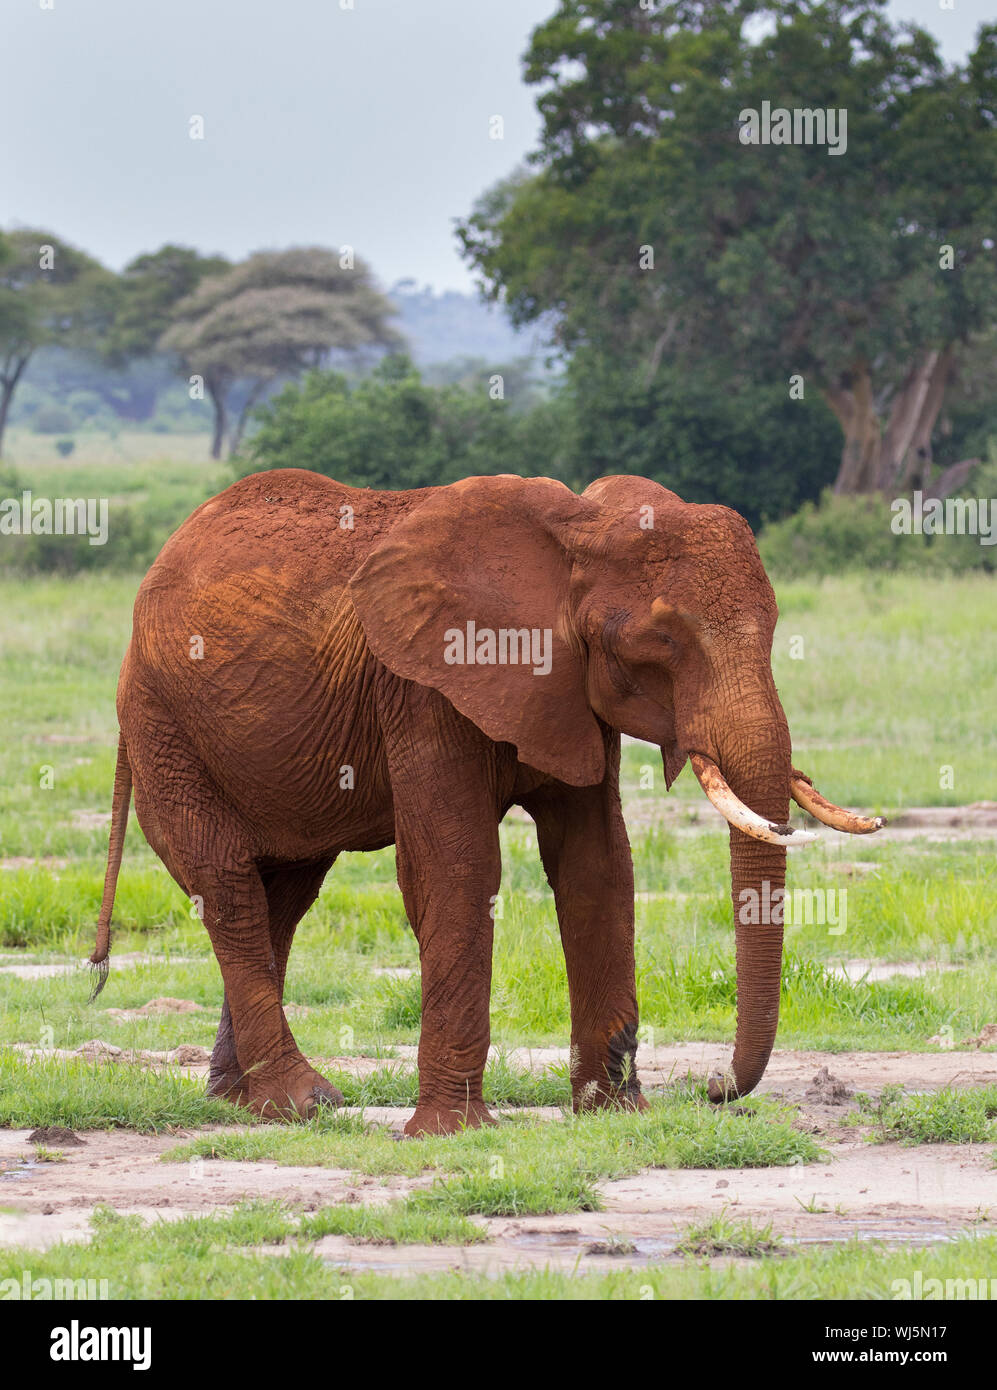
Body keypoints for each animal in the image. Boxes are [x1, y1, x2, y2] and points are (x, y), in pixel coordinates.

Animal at [89, 472, 884, 1134]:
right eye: (659, 640)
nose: (714, 1088)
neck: (569, 530)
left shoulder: (569, 694)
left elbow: (598, 865)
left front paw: (612, 1113)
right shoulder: (422, 687)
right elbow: (457, 868)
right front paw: (452, 1133)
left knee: (282, 894)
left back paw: (242, 1103)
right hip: (162, 724)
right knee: (228, 885)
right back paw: (305, 1104)